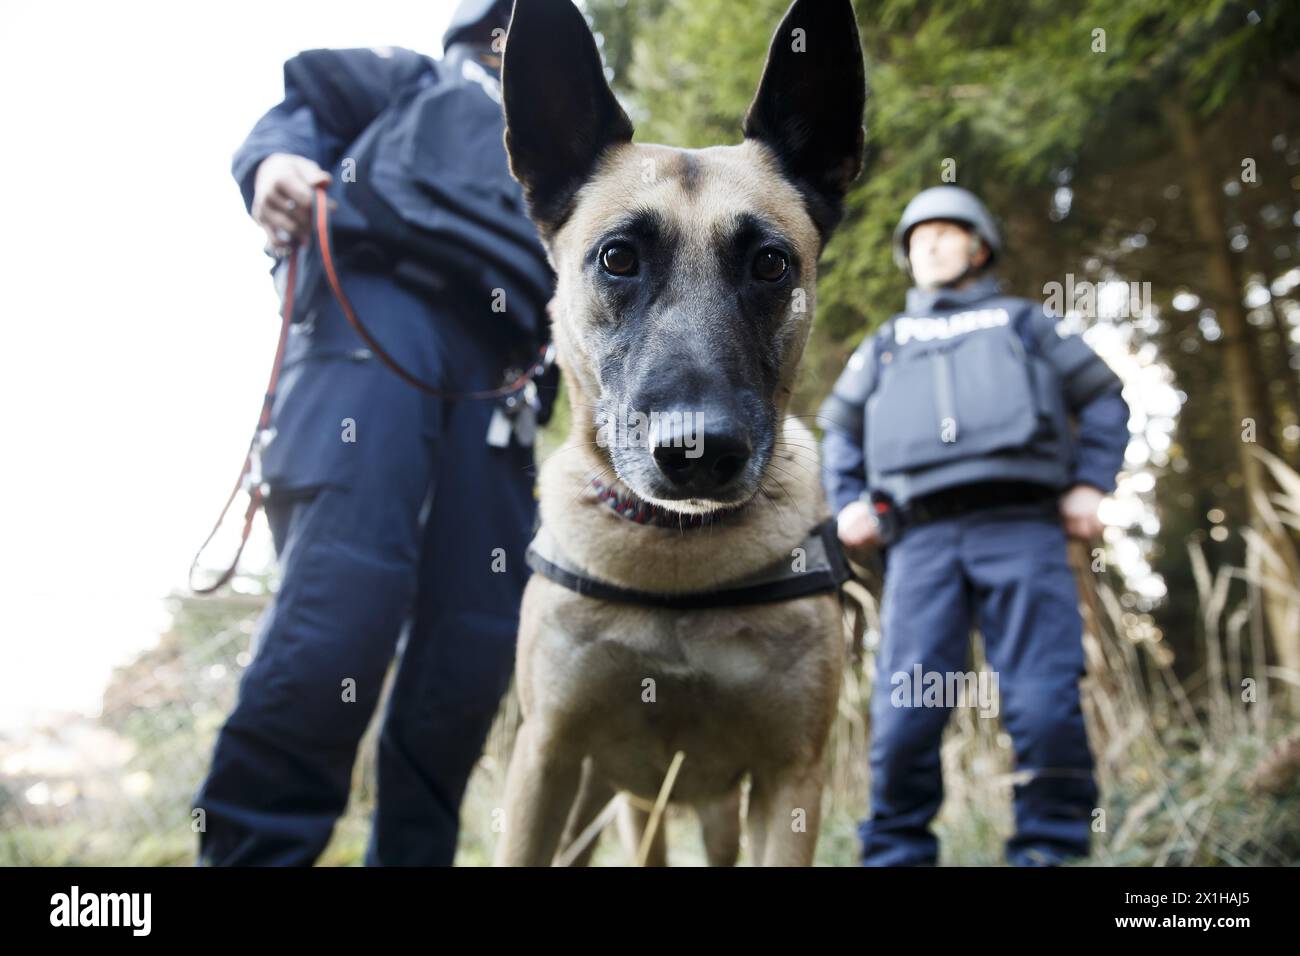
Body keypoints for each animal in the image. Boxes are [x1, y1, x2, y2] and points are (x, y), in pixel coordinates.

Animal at [491, 0, 868, 868]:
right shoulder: (544, 763)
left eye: (770, 264)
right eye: (618, 258)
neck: (676, 558)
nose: (699, 453)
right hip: (612, 805)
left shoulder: (790, 784)